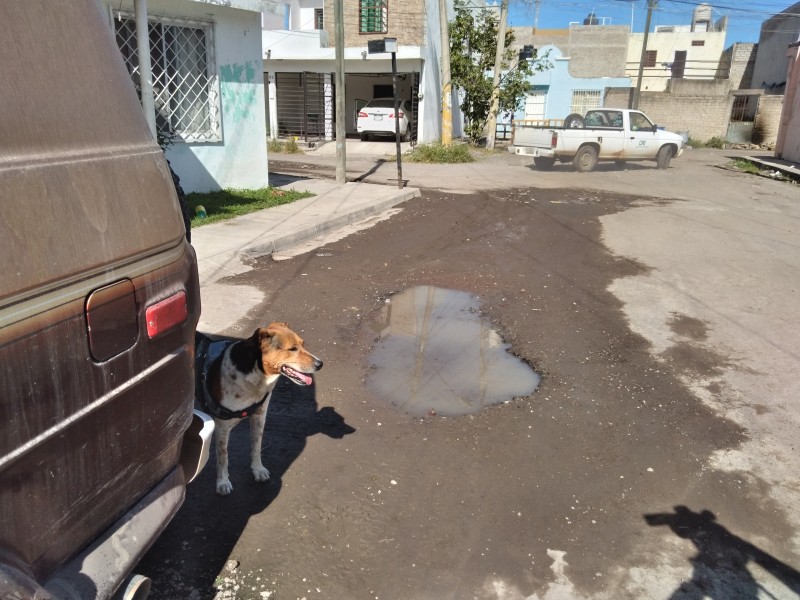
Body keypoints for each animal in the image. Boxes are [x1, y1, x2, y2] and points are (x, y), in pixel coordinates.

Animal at [195, 324, 324, 496]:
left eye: (303, 344)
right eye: (292, 349)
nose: (320, 364)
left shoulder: (259, 416)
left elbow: (256, 447)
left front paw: (258, 470)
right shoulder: (222, 427)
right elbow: (223, 457)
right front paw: (222, 482)